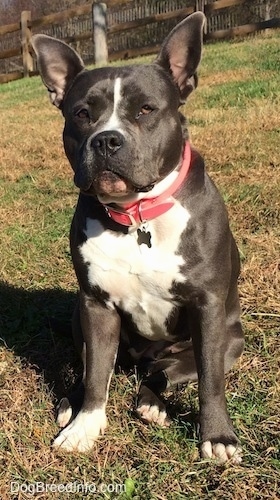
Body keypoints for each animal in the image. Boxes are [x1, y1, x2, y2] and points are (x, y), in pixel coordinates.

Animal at [31, 11, 244, 462]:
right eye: (81, 113)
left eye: (146, 109)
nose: (107, 140)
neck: (136, 214)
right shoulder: (96, 305)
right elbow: (96, 374)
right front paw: (85, 427)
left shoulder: (208, 307)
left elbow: (211, 380)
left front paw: (218, 437)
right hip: (79, 316)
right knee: (94, 367)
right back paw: (70, 403)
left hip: (230, 340)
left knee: (166, 373)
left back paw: (152, 402)